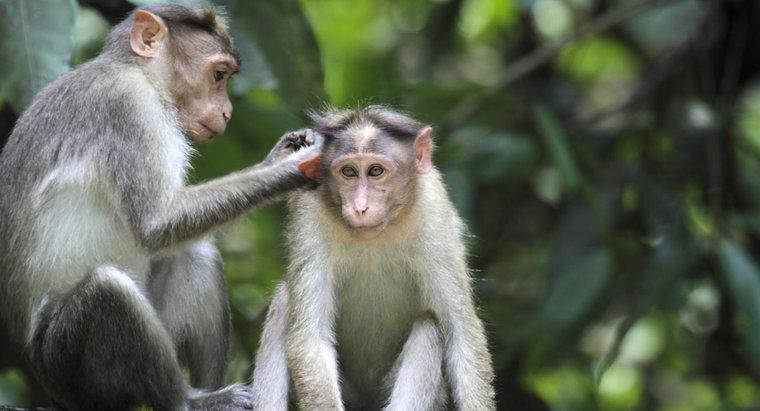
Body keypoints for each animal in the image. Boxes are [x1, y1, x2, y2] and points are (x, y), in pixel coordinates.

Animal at [0, 4, 324, 411]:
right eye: (218, 75)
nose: (228, 112)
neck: (136, 72)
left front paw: (285, 152)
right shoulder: (128, 109)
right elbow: (156, 224)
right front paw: (301, 164)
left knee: (197, 252)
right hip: (70, 365)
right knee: (110, 289)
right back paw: (188, 400)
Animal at [249, 107, 496, 411]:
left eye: (376, 171)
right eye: (348, 172)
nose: (360, 207)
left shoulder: (433, 207)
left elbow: (461, 333)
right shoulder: (310, 213)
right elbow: (311, 339)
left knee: (430, 326)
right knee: (285, 298)